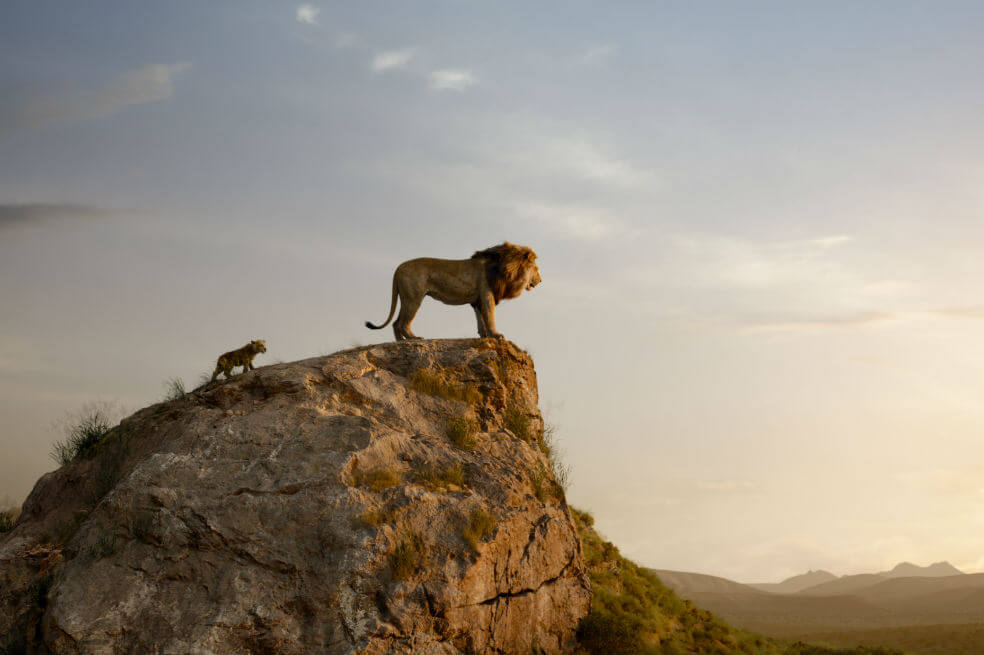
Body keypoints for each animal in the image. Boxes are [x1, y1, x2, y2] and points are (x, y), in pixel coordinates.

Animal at [365, 242, 541, 340]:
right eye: (536, 269)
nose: (540, 280)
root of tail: (398, 268)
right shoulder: (487, 295)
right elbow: (490, 317)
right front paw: (496, 335)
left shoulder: (477, 300)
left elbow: (480, 319)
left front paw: (484, 335)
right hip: (414, 298)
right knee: (402, 323)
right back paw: (414, 338)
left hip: (406, 298)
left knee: (395, 323)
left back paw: (401, 342)